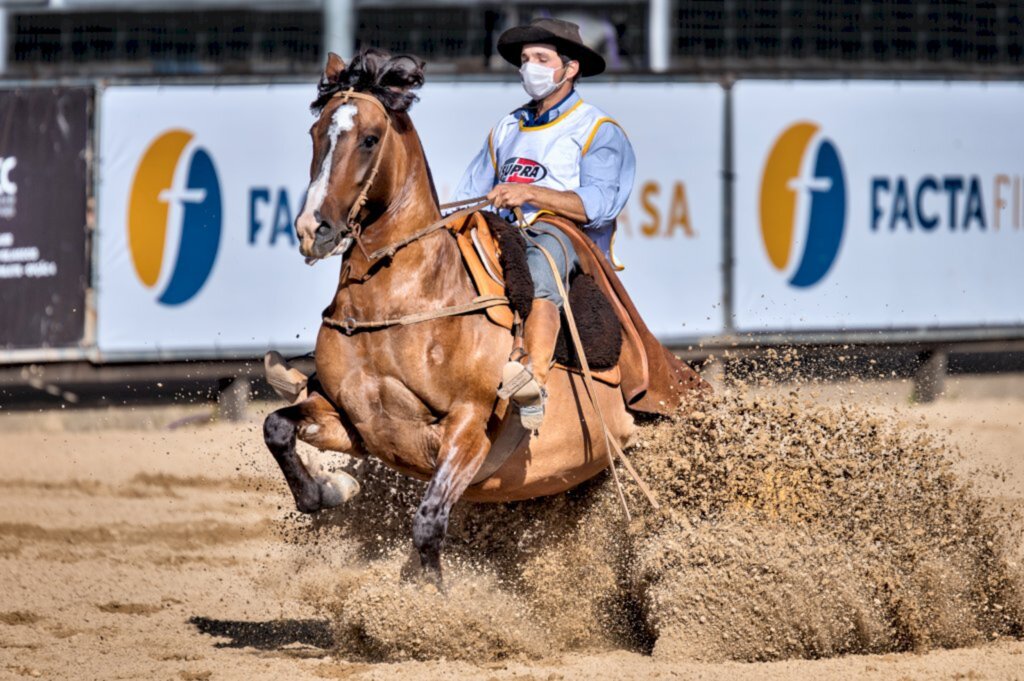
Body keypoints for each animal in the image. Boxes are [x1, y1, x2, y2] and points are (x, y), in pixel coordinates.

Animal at [260, 49, 700, 577]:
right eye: (316, 132)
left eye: (369, 139)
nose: (313, 229)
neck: (405, 303)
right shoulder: (353, 420)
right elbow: (277, 428)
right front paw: (333, 487)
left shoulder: (468, 428)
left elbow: (428, 526)